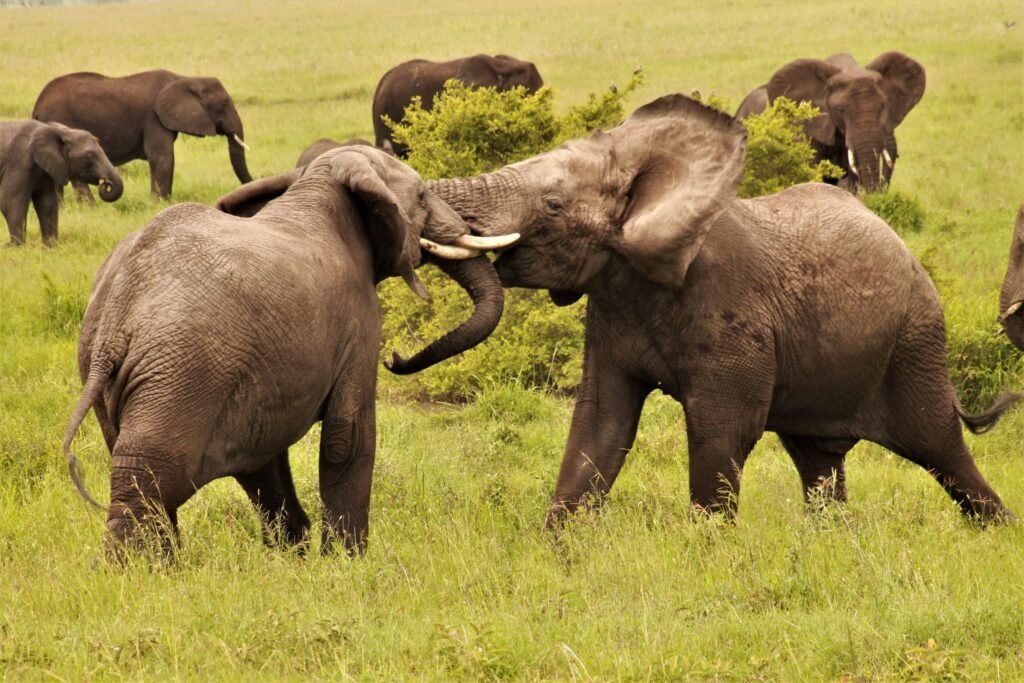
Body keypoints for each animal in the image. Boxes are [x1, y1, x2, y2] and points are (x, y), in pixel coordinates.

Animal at [33, 69, 252, 199]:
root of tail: (37, 106)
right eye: (223, 103)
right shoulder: (154, 117)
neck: (185, 78)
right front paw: (160, 202)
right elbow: (162, 156)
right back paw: (89, 207)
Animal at [63, 146, 517, 558]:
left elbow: (264, 456)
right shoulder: (359, 319)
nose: (397, 359)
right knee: (151, 477)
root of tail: (118, 312)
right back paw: (140, 573)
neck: (318, 187)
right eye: (421, 196)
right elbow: (347, 437)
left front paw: (293, 555)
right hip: (183, 373)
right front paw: (346, 565)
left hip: (117, 371)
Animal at [429, 93, 1018, 528]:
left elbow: (722, 432)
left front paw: (707, 554)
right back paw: (830, 539)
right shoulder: (611, 308)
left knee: (942, 448)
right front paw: (558, 549)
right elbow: (599, 425)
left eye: (553, 205)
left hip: (915, 339)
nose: (399, 358)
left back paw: (999, 530)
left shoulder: (729, 311)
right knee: (819, 461)